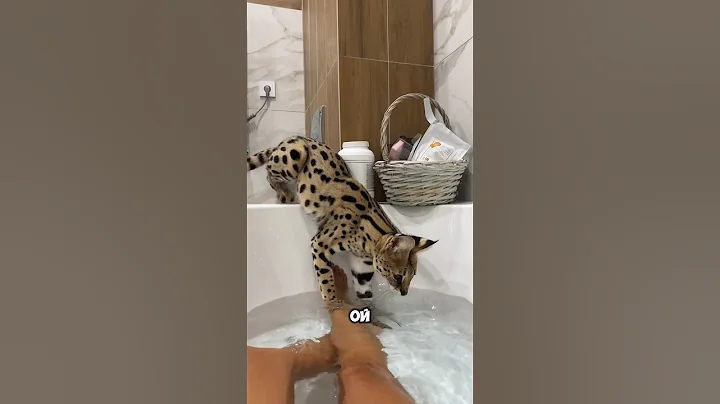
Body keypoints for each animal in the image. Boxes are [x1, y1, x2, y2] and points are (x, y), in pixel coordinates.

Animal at [247, 135, 438, 307]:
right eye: (399, 276)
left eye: (413, 275)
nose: (404, 293)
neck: (367, 244)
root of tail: (296, 138)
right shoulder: (319, 243)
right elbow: (326, 277)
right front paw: (332, 302)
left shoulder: (362, 269)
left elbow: (364, 294)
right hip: (294, 157)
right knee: (269, 172)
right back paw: (285, 194)